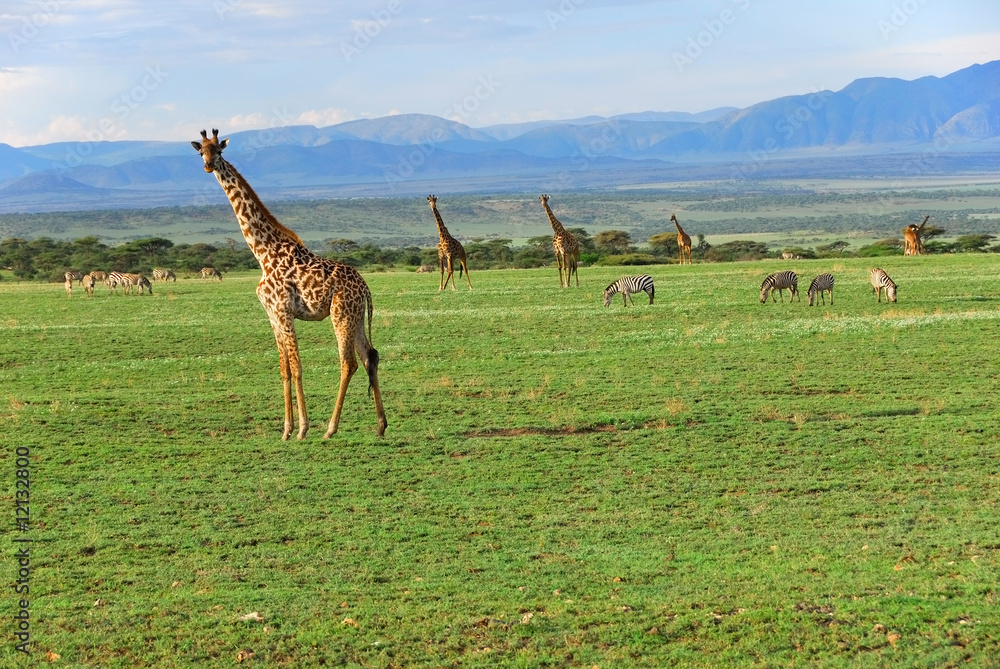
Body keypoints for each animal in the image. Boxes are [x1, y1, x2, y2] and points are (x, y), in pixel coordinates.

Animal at [191, 129, 387, 440]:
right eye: (201, 152)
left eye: (219, 151)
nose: (209, 166)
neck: (263, 252)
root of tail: (365, 287)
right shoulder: (272, 316)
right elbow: (283, 369)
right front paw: (286, 429)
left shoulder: (284, 312)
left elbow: (297, 367)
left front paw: (303, 428)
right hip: (355, 318)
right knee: (370, 357)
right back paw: (381, 425)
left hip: (341, 314)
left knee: (349, 363)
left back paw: (330, 428)